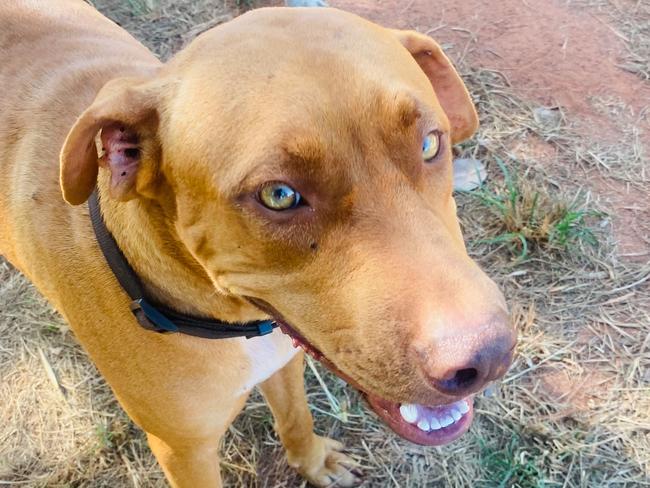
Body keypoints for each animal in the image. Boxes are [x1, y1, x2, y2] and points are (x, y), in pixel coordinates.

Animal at [1, 1, 516, 486]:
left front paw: (314, 462)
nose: (488, 358)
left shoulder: (285, 358)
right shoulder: (184, 451)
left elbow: (296, 418)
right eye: (279, 195)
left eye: (430, 144)